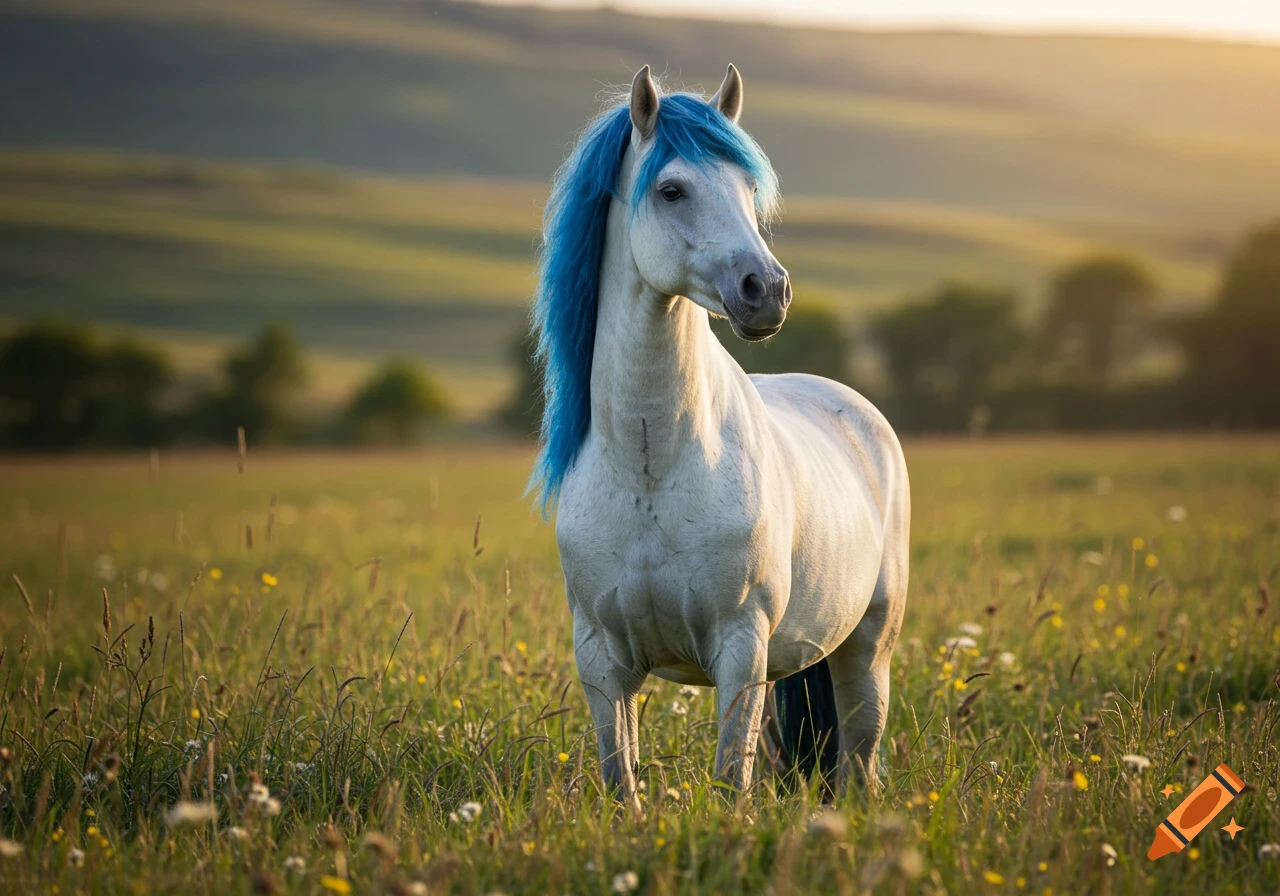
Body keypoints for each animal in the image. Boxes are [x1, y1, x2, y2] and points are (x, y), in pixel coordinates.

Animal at [529, 63, 910, 804]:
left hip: (866, 649)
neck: (652, 467)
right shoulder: (602, 661)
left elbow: (733, 781)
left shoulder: (740, 647)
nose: (767, 291)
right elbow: (621, 780)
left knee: (860, 758)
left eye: (749, 187)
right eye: (671, 189)